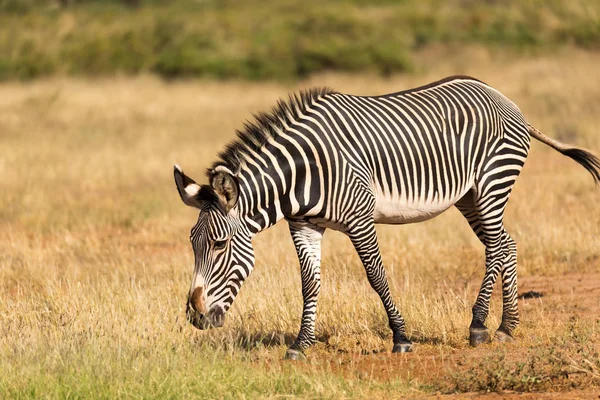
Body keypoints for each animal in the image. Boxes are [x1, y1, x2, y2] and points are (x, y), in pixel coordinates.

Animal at [171, 76, 596, 360]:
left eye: (219, 244)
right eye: (192, 245)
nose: (195, 317)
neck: (302, 172)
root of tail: (505, 99)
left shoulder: (360, 218)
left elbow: (376, 275)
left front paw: (401, 338)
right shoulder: (305, 225)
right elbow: (309, 284)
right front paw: (300, 345)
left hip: (493, 183)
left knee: (495, 247)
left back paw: (478, 327)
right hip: (470, 196)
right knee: (506, 244)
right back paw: (507, 327)